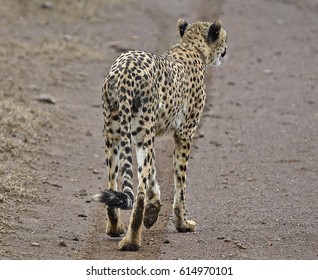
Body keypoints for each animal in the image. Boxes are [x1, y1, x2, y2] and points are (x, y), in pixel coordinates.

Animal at [93, 18, 227, 250]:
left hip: (115, 134)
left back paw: (115, 228)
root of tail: (124, 71)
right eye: (224, 38)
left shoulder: (150, 134)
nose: (226, 50)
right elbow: (180, 185)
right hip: (140, 134)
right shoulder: (184, 134)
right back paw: (132, 240)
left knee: (112, 184)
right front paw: (182, 224)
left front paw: (153, 210)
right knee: (138, 193)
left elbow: (154, 174)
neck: (191, 46)